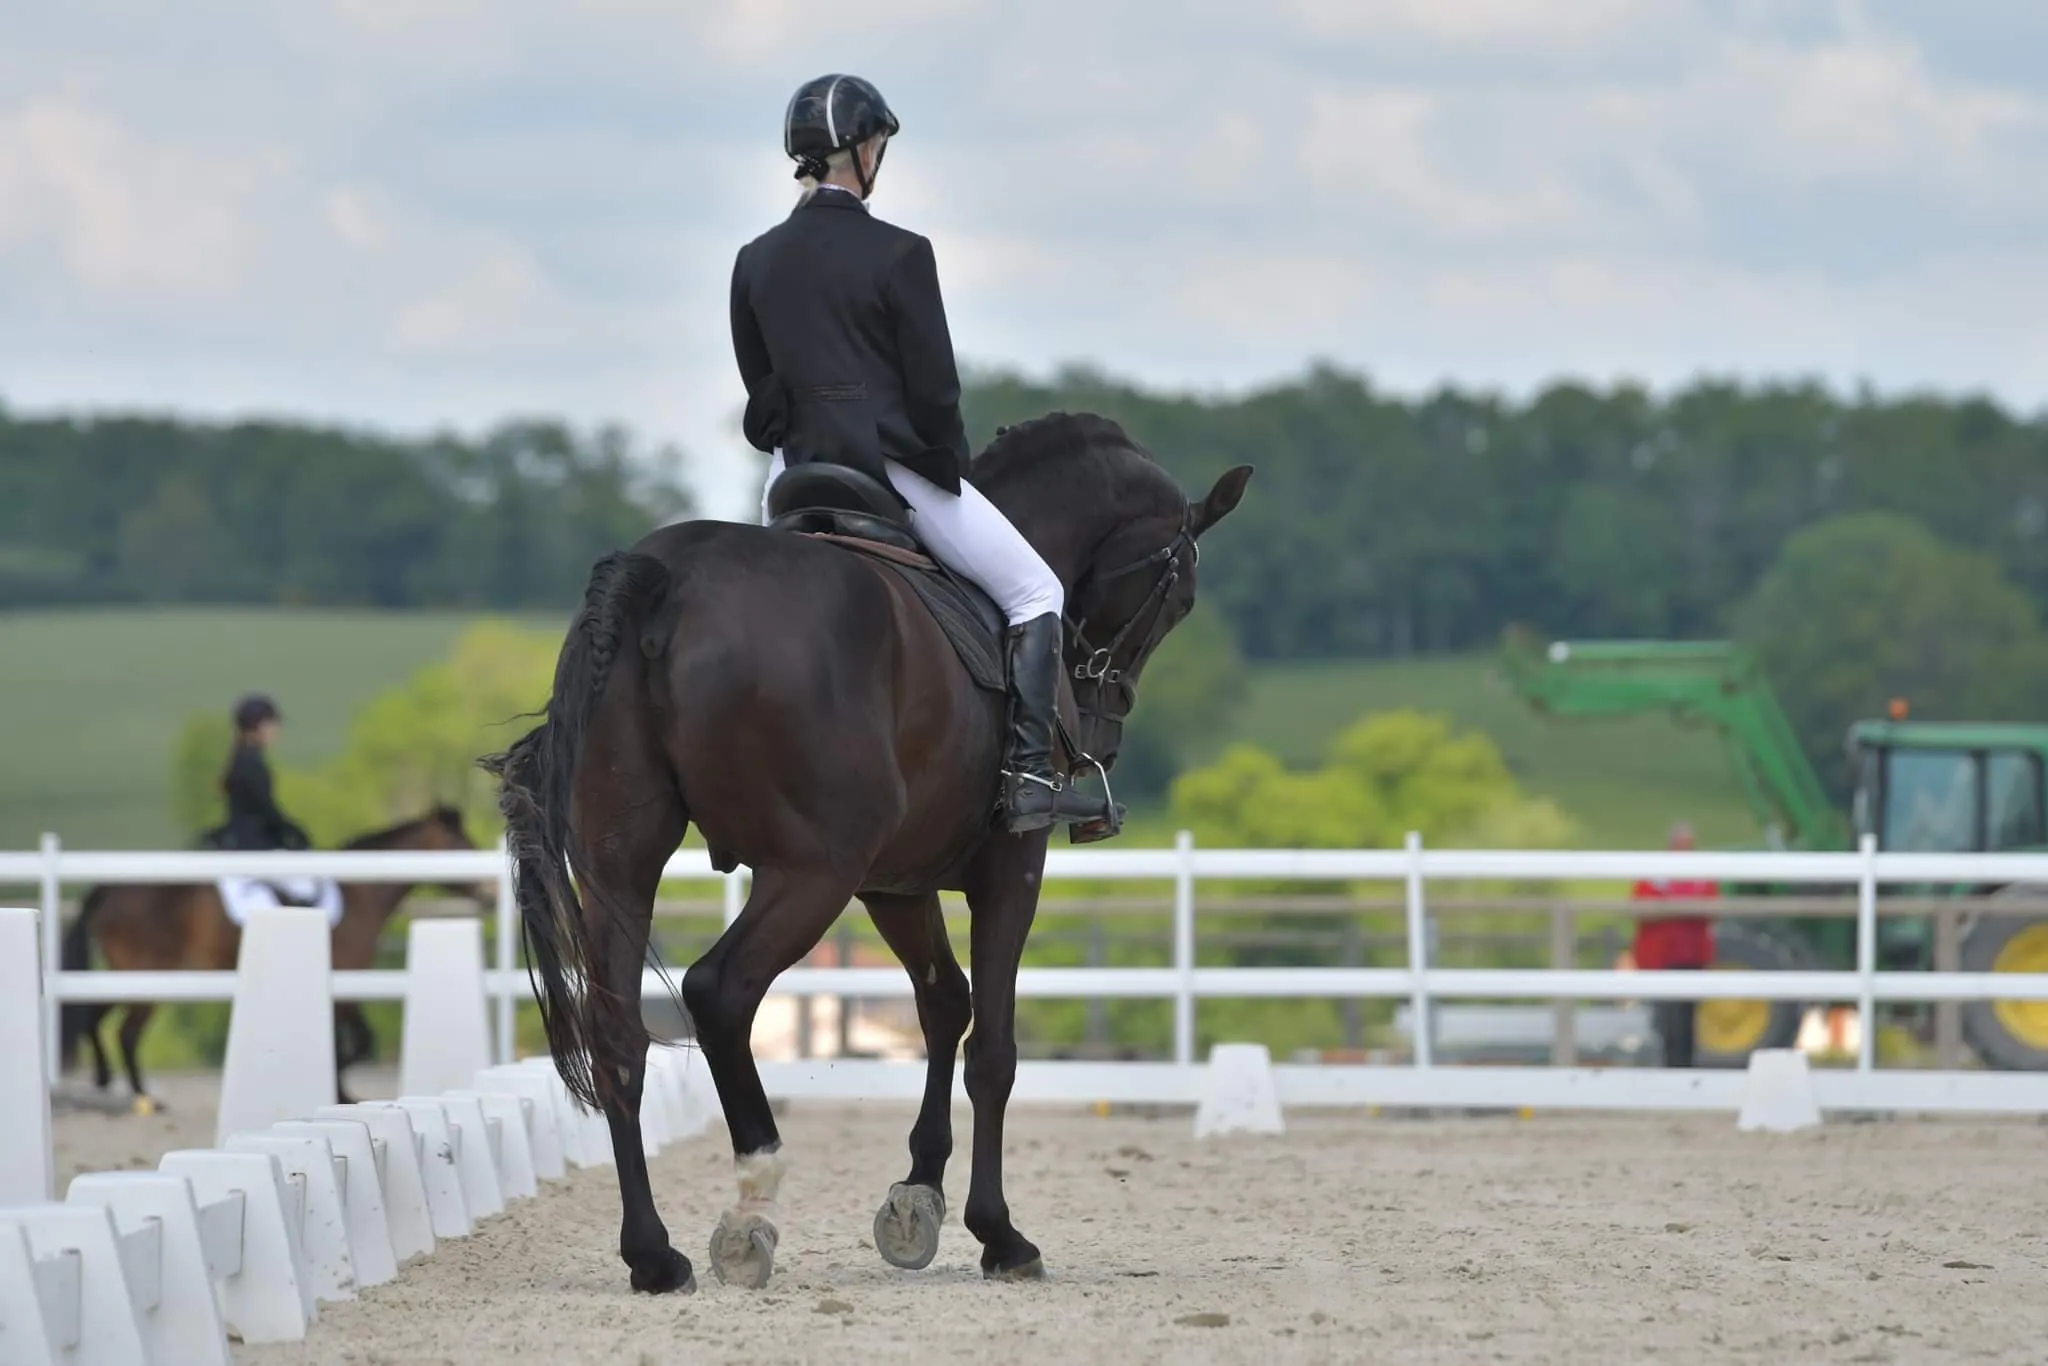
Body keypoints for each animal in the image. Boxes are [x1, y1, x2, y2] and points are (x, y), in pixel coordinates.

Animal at [61, 806, 489, 1105]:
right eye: (460, 844)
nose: (490, 894)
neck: (361, 891)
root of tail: (108, 889)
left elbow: (348, 1043)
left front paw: (341, 1092)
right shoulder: (346, 983)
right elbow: (359, 1042)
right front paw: (340, 1093)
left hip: (129, 974)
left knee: (95, 1019)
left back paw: (108, 1081)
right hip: (149, 976)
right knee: (125, 1032)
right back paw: (141, 1094)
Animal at [491, 413, 1245, 1294]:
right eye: (1179, 598)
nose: (1103, 728)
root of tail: (664, 577)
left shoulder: (896, 885)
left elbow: (943, 1004)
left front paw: (917, 1200)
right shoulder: (1011, 867)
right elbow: (992, 1048)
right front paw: (999, 1234)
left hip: (623, 863)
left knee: (617, 1035)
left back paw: (654, 1254)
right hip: (814, 871)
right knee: (720, 990)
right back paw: (752, 1204)